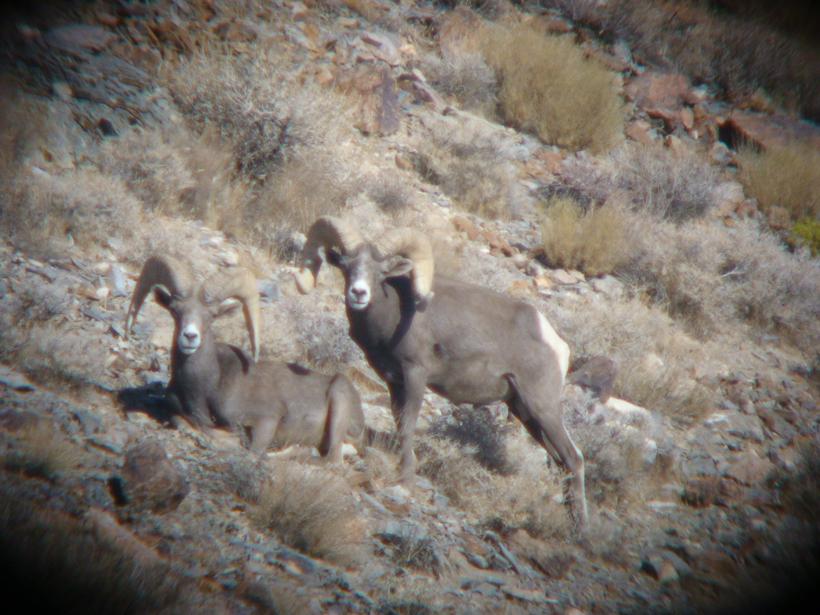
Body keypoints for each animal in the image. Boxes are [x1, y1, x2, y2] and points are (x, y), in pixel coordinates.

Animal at [125, 255, 364, 462]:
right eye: (175, 311)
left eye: (211, 316)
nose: (190, 337)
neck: (204, 387)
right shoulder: (177, 413)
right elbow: (185, 423)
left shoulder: (267, 420)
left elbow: (248, 449)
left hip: (339, 401)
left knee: (330, 460)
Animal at [295, 216, 588, 530]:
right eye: (346, 266)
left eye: (381, 272)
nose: (358, 293)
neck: (394, 312)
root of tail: (557, 344)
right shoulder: (394, 382)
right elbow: (399, 422)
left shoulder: (415, 375)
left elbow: (407, 425)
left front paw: (406, 480)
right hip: (523, 411)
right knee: (562, 461)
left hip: (542, 407)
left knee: (574, 458)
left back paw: (581, 529)